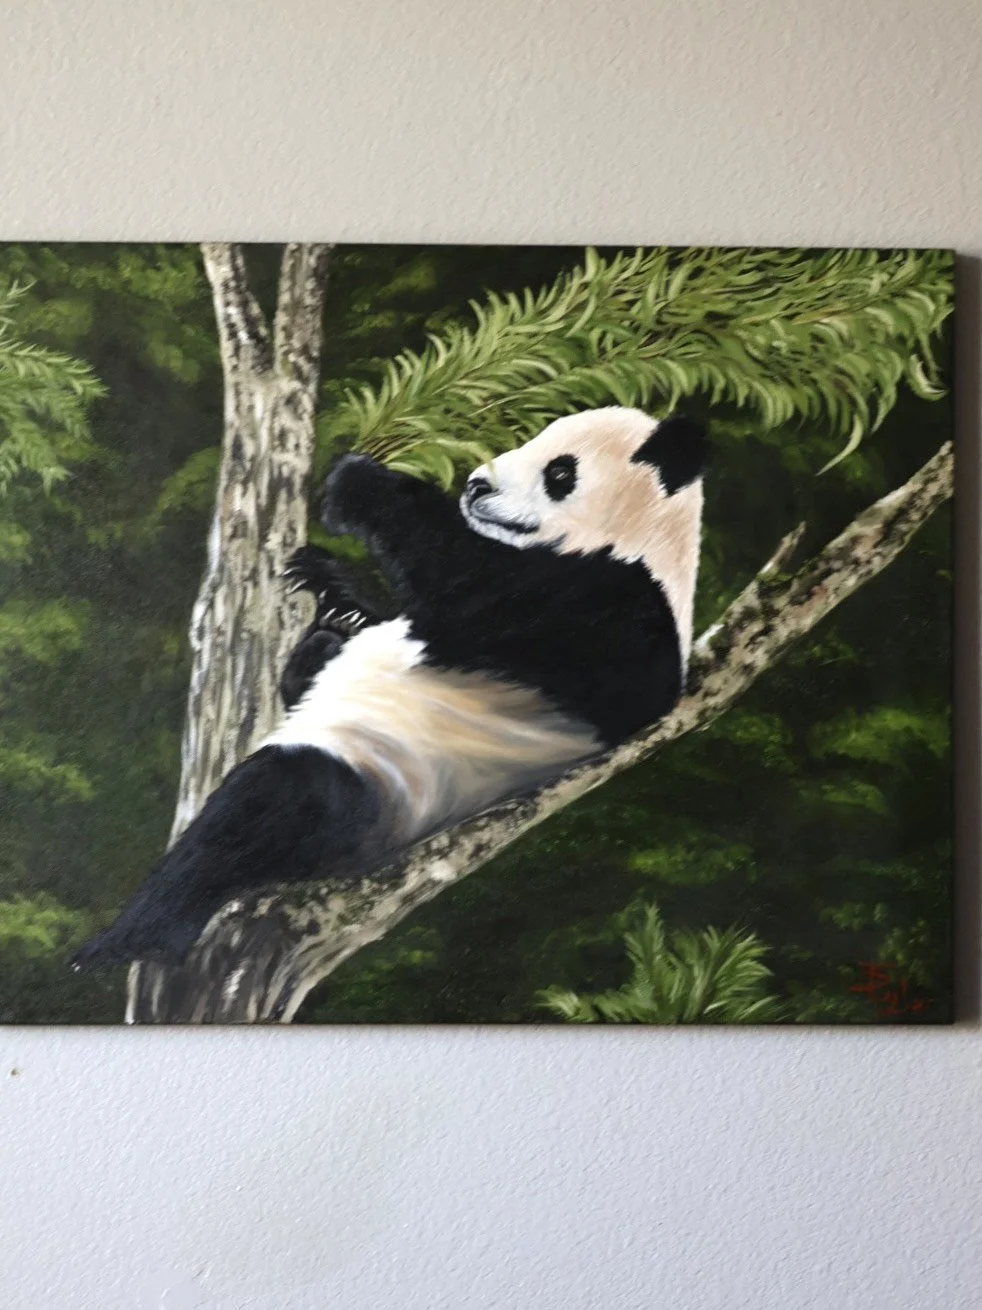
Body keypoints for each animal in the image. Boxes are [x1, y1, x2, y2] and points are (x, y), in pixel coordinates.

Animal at [72, 406, 705, 970]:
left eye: (559, 472)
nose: (475, 485)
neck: (642, 542)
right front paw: (333, 591)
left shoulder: (614, 611)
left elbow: (470, 582)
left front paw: (356, 483)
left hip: (380, 794)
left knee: (262, 807)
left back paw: (128, 941)